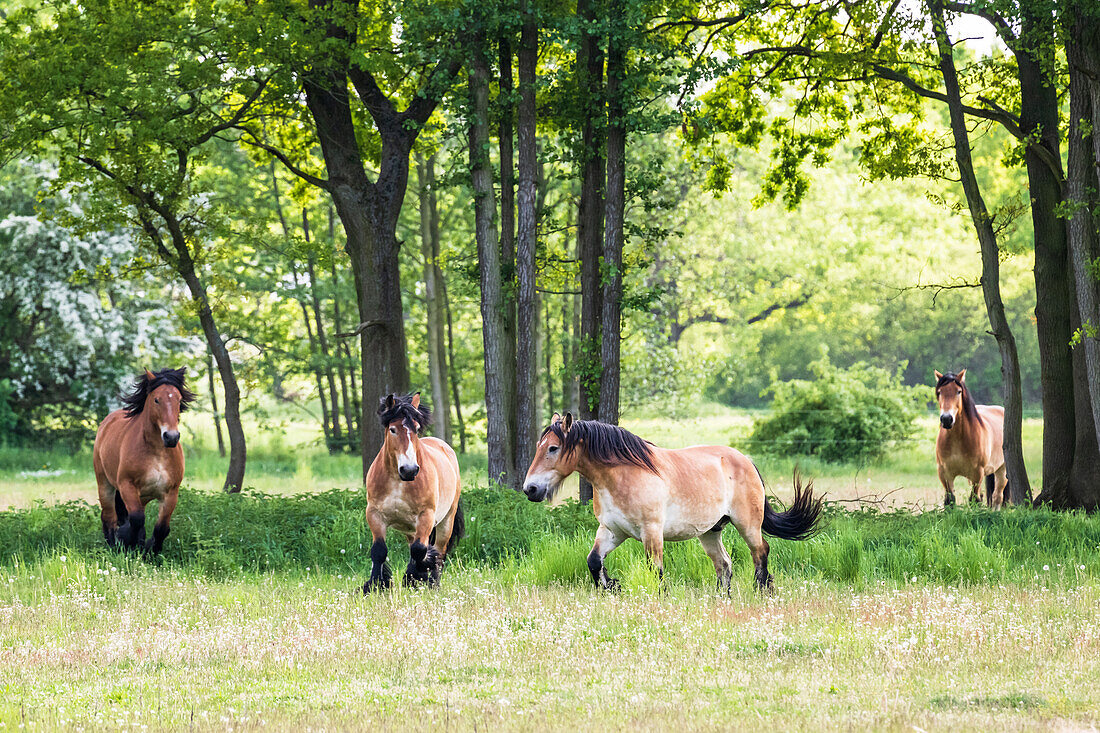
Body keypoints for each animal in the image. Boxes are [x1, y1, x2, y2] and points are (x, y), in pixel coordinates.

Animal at [92, 367, 193, 550]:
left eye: (179, 399)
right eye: (156, 400)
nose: (171, 437)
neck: (157, 453)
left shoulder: (170, 493)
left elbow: (162, 528)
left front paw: (150, 550)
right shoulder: (127, 486)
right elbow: (137, 519)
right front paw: (126, 542)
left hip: (142, 497)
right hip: (105, 484)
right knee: (109, 517)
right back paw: (112, 545)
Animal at [363, 391, 462, 589]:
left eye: (416, 429)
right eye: (393, 429)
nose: (409, 470)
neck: (397, 481)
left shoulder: (426, 515)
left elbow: (420, 550)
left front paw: (417, 575)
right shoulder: (374, 514)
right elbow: (379, 551)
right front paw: (375, 585)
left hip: (446, 521)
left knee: (439, 551)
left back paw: (433, 582)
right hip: (410, 528)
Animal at [519, 413, 822, 589]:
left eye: (553, 448)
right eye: (539, 447)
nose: (530, 489)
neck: (622, 475)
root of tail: (746, 460)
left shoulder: (651, 532)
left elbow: (656, 571)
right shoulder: (612, 531)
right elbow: (594, 561)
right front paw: (611, 585)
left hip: (747, 524)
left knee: (760, 554)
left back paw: (761, 591)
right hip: (710, 532)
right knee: (724, 565)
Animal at [932, 367, 1007, 506]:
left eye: (959, 391)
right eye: (939, 392)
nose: (946, 419)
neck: (957, 440)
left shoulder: (977, 473)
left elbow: (974, 500)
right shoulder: (944, 473)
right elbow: (950, 501)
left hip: (1002, 470)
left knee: (997, 497)